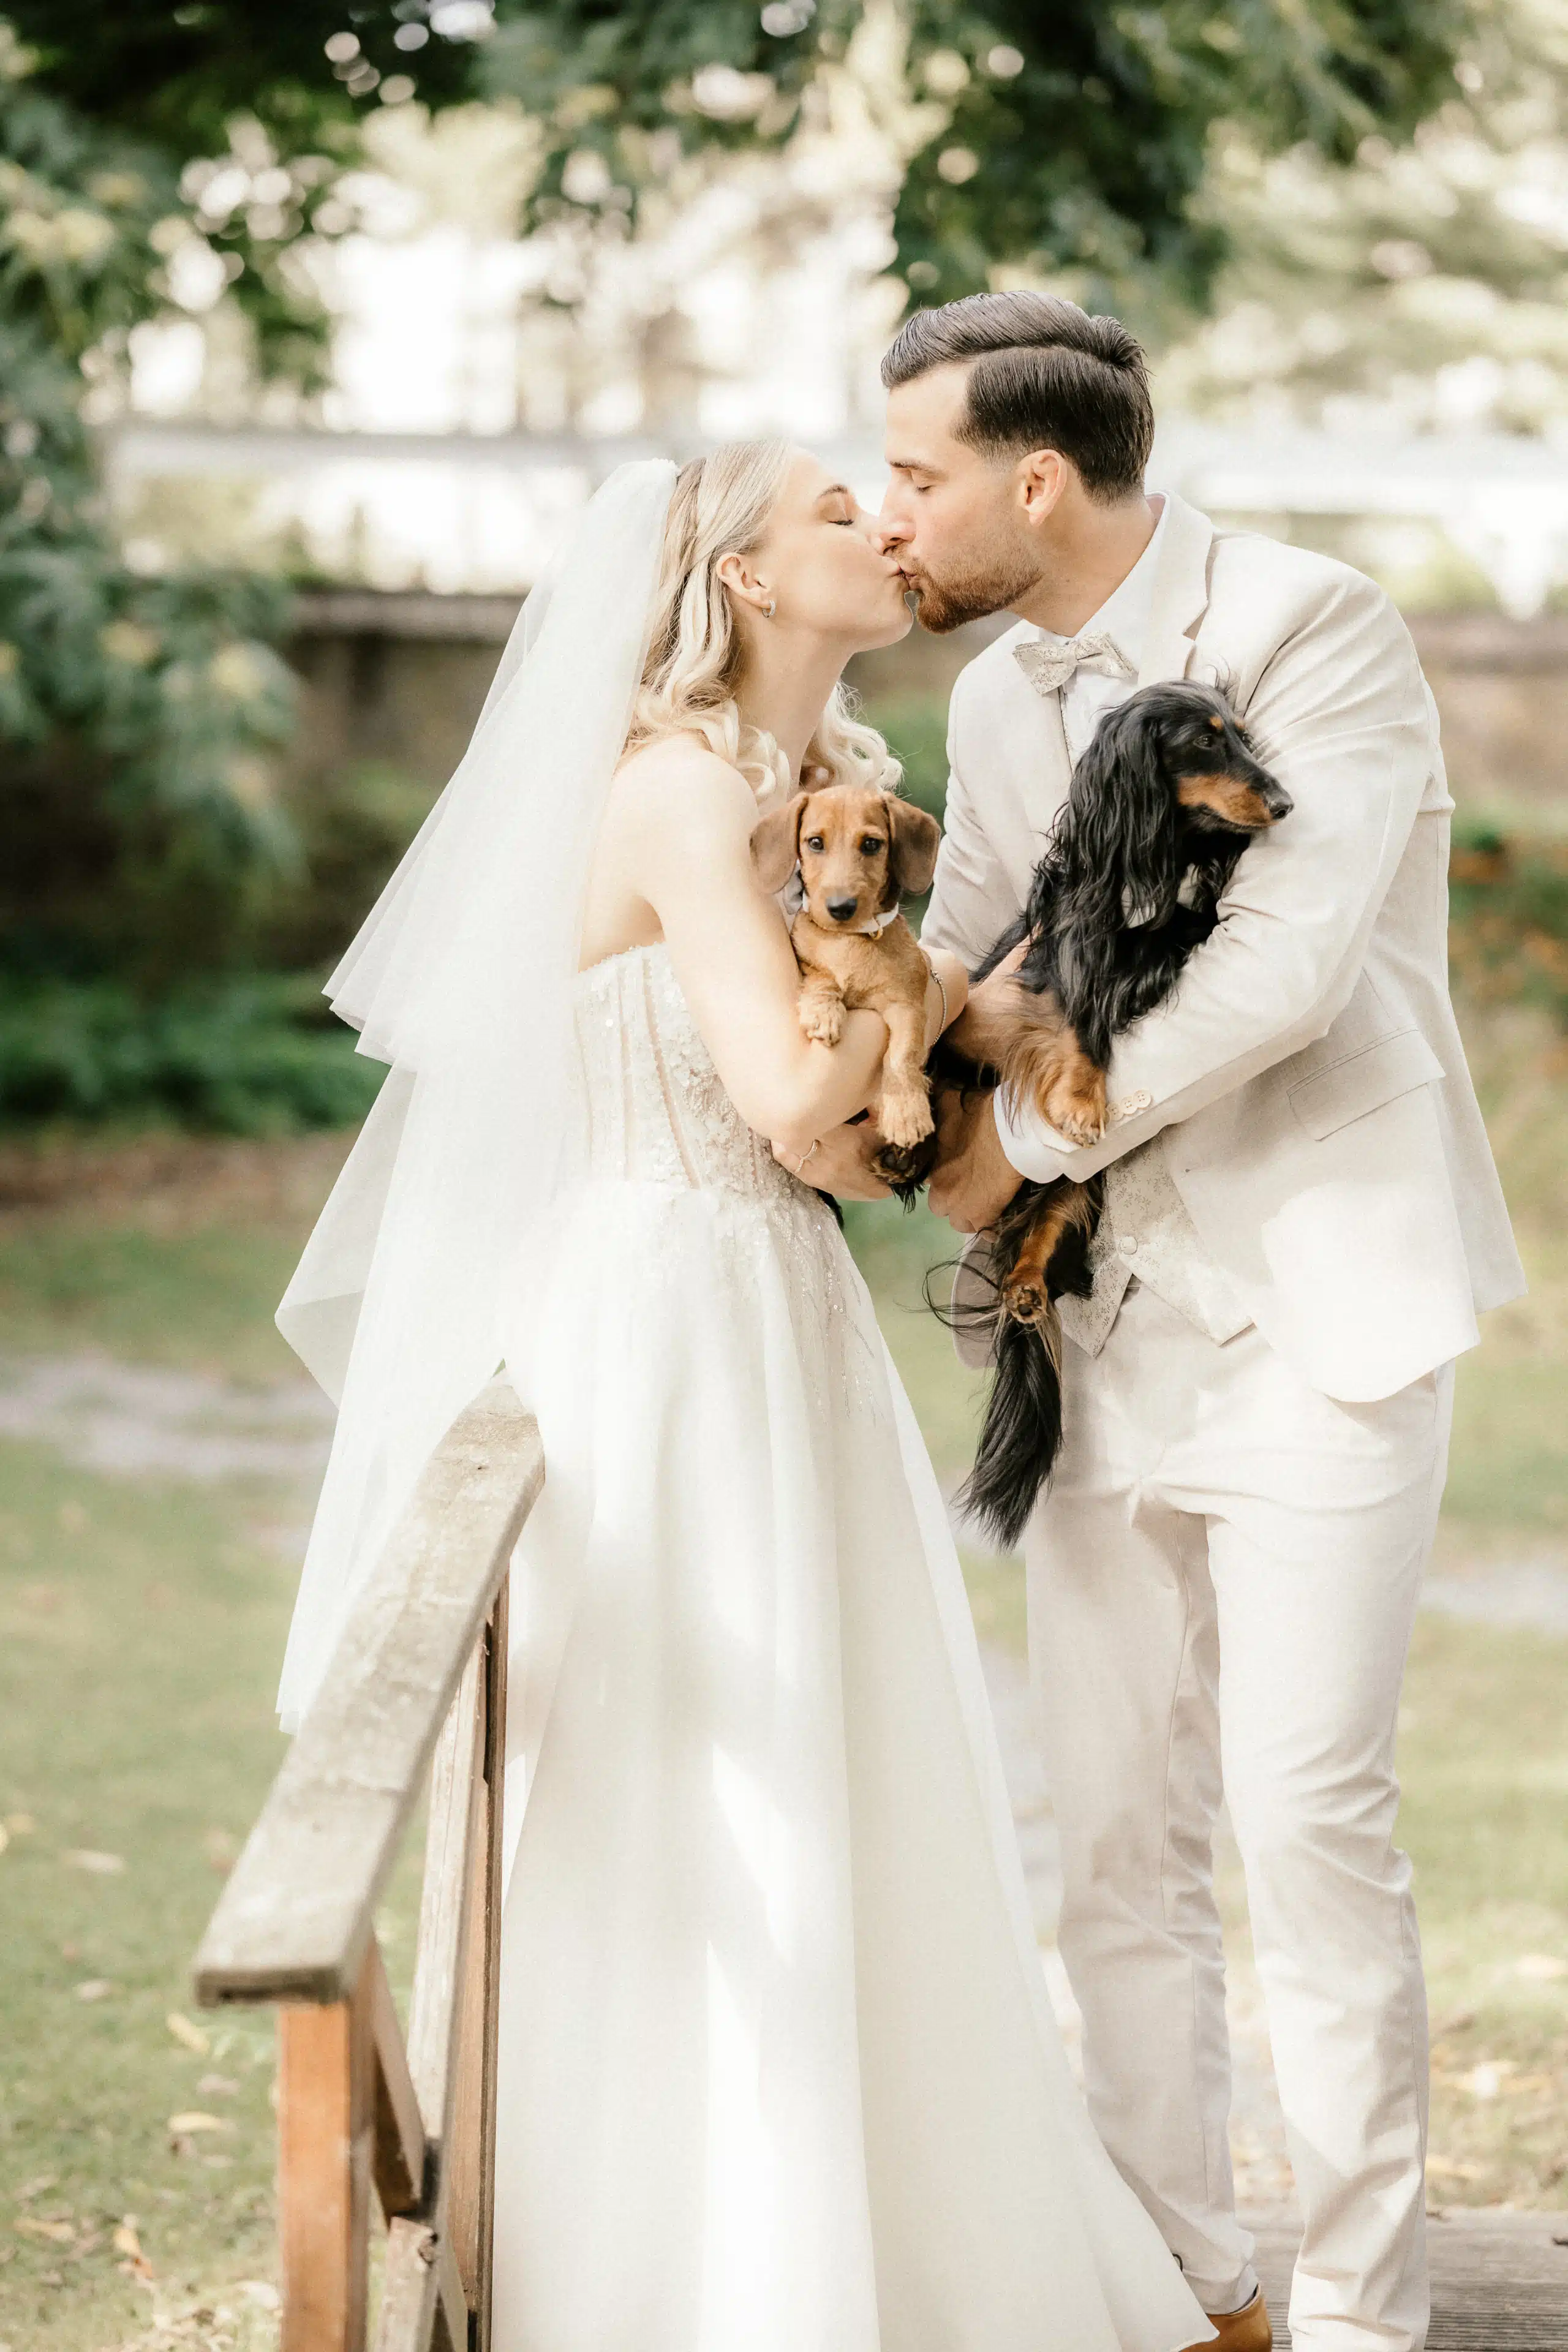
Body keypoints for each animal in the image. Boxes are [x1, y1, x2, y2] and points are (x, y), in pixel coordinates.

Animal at [751, 779, 943, 1153]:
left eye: (871, 844)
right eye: (815, 843)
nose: (841, 907)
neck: (849, 940)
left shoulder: (907, 1005)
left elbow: (902, 1054)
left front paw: (906, 1113)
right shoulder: (807, 961)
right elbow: (819, 976)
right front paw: (823, 1011)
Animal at [935, 680, 1292, 1547]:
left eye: (1242, 735)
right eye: (1205, 742)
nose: (1284, 803)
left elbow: (1180, 934)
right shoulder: (1056, 954)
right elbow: (1079, 1014)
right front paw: (1081, 1098)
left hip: (1073, 1195)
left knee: (1038, 1248)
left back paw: (1027, 1288)